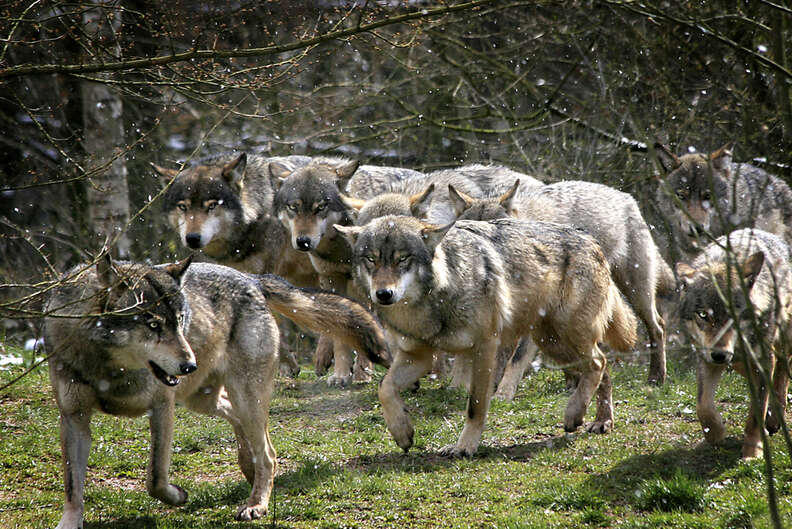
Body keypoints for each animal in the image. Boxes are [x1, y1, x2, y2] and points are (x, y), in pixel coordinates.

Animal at [44, 256, 388, 528]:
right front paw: (69, 523)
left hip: (240, 396)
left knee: (268, 452)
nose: (189, 365)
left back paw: (257, 504)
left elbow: (155, 478)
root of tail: (252, 279)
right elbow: (73, 486)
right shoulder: (73, 418)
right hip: (202, 399)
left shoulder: (162, 406)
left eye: (180, 321)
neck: (105, 365)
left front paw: (177, 495)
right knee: (241, 423)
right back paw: (247, 465)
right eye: (153, 324)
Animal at [336, 215, 638, 457]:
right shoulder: (418, 355)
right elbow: (384, 388)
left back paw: (575, 414)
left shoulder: (484, 348)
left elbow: (475, 406)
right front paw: (402, 432)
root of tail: (591, 239)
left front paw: (464, 447)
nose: (383, 294)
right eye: (371, 259)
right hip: (555, 345)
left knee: (599, 363)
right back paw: (600, 421)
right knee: (604, 368)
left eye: (402, 259)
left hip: (564, 339)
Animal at [450, 179, 675, 393]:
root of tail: (625, 197)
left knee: (658, 326)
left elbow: (516, 359)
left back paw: (656, 377)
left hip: (636, 294)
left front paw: (503, 394)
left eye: (498, 228)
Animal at [675, 229, 792, 459]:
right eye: (703, 315)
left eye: (733, 314)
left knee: (783, 368)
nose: (719, 355)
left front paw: (752, 452)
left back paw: (775, 416)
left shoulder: (762, 360)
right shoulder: (705, 357)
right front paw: (715, 435)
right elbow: (703, 406)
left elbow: (756, 414)